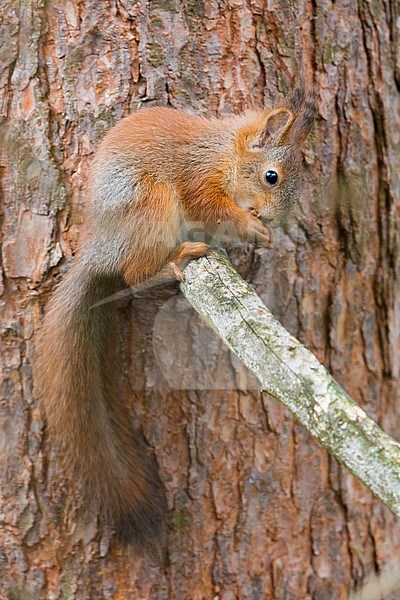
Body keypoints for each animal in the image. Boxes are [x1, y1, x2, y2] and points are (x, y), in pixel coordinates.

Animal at [35, 83, 316, 548]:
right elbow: (210, 206)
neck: (224, 151)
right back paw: (174, 261)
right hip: (153, 203)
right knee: (134, 273)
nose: (274, 218)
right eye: (271, 176)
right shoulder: (196, 177)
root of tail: (99, 250)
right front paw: (251, 227)